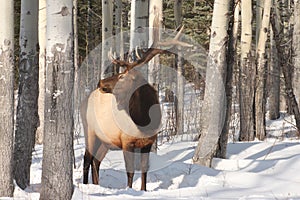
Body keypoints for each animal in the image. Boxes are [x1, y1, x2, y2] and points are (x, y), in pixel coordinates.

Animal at [81, 23, 191, 191]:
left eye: (122, 76)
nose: (100, 82)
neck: (144, 121)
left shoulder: (148, 142)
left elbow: (144, 169)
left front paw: (143, 190)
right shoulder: (126, 141)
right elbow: (130, 171)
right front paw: (130, 189)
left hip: (105, 140)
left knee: (96, 161)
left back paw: (96, 184)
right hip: (90, 131)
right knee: (87, 159)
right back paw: (86, 185)